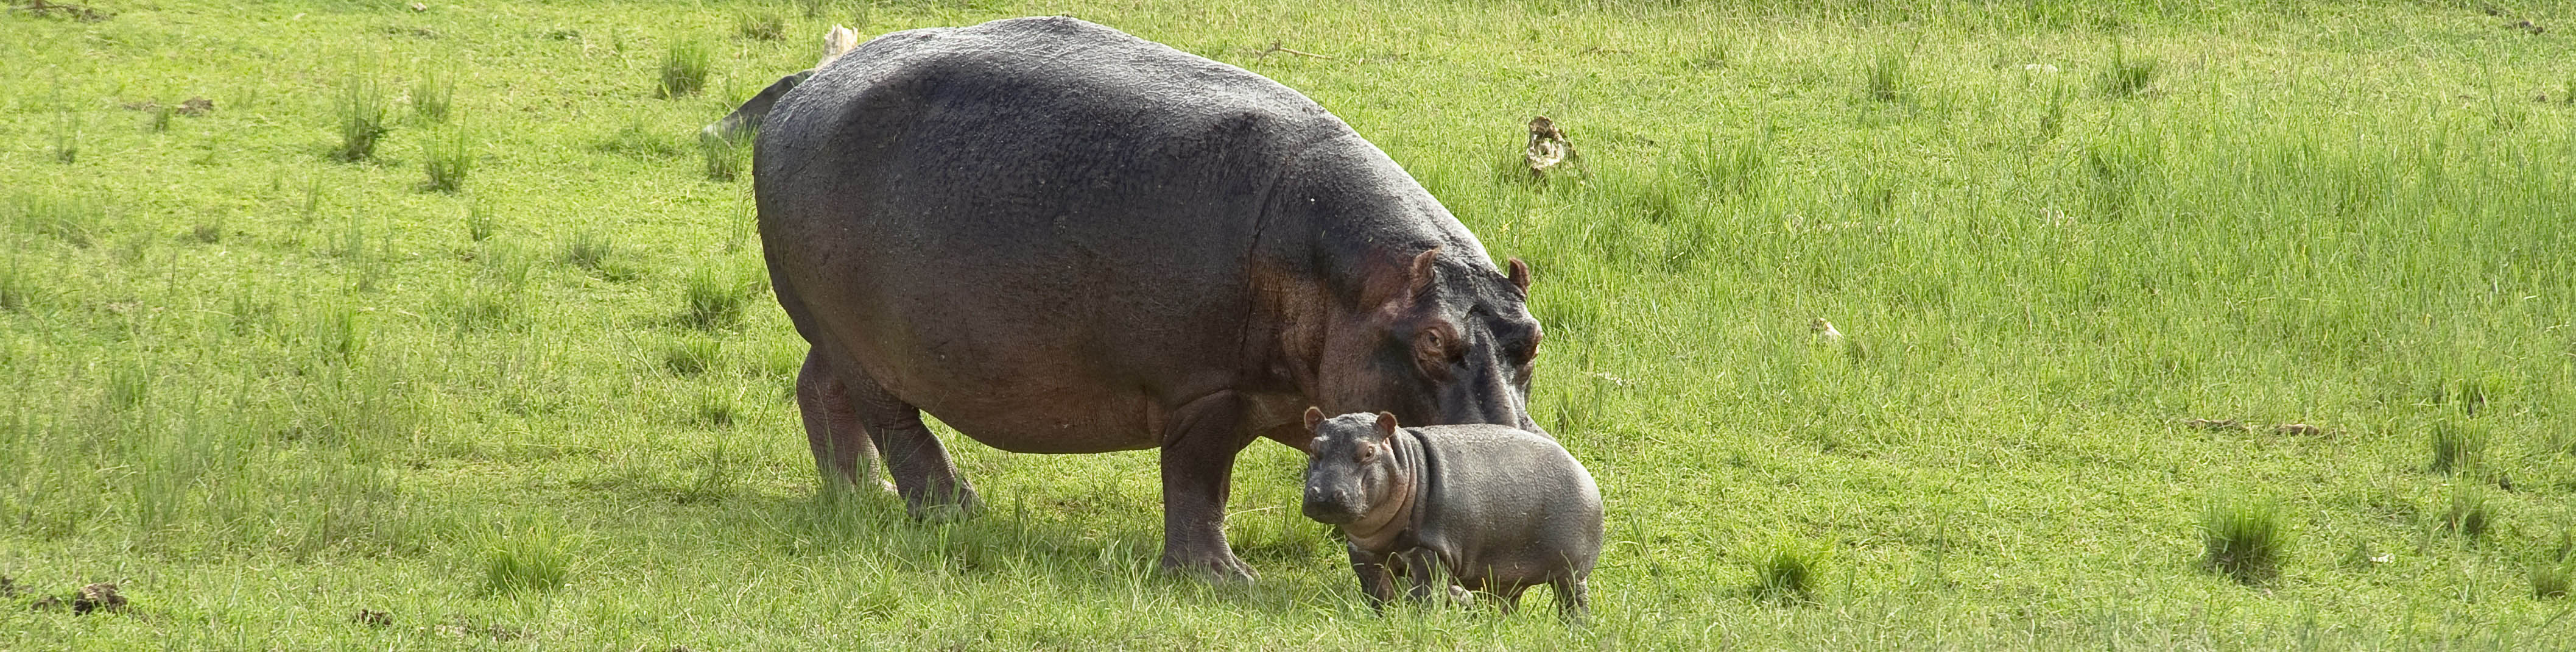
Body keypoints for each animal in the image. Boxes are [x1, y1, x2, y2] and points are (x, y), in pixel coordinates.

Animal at [752, 15, 1535, 577]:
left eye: (1532, 339)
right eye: (1433, 339)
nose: (1525, 466)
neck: (1348, 279)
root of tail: (801, 92)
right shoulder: (1206, 392)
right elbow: (1197, 482)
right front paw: (1222, 580)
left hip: (835, 332)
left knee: (820, 389)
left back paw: (859, 495)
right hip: (866, 348)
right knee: (898, 426)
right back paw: (957, 511)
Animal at [1298, 407, 1597, 621]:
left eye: (1368, 452)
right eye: (1313, 448)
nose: (1324, 494)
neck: (1407, 463)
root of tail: (1583, 470)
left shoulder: (1432, 551)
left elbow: (1425, 595)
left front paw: (1423, 620)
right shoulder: (1364, 552)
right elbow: (1378, 593)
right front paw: (1384, 619)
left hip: (1572, 569)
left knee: (1575, 601)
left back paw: (1574, 629)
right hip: (1506, 573)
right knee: (1506, 603)